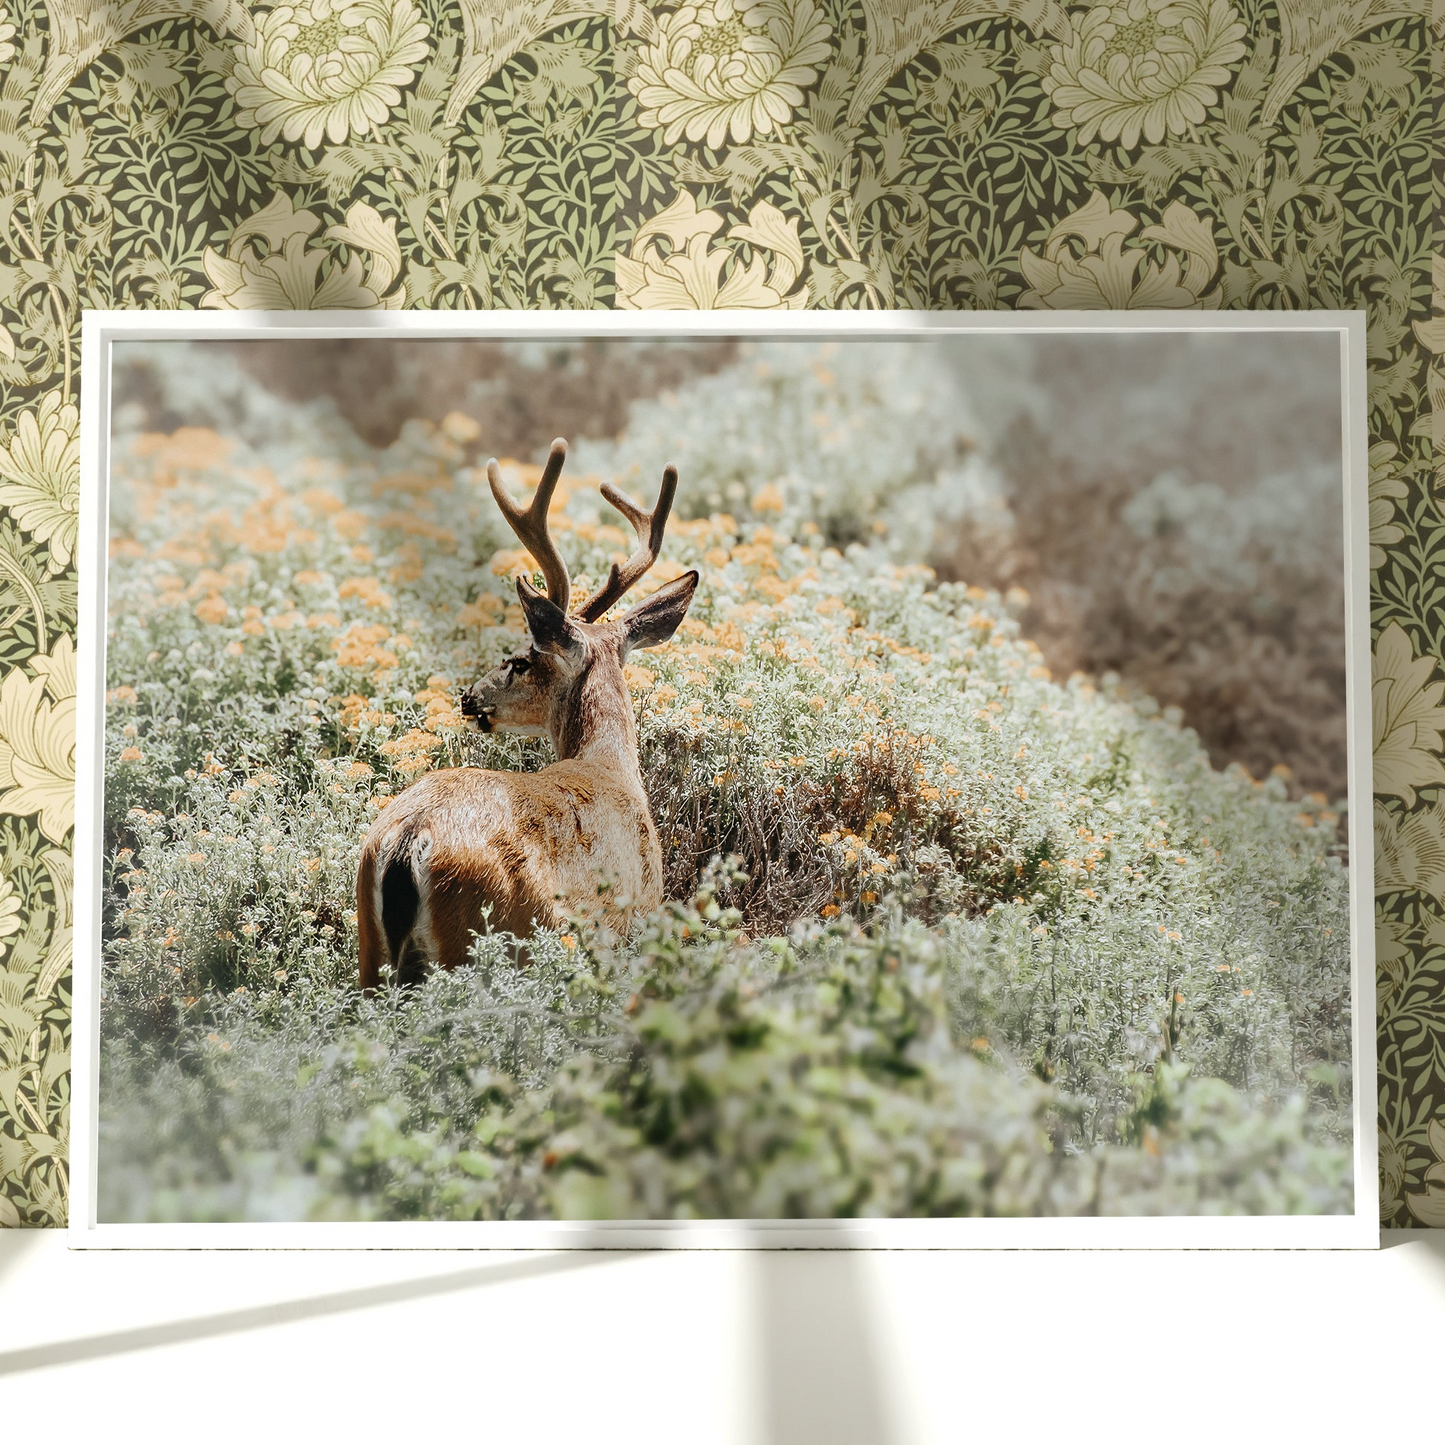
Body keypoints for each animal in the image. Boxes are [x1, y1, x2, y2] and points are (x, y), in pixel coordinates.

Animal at [352, 433, 696, 988]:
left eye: (521, 661)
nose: (469, 696)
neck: (610, 766)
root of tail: (409, 838)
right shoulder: (633, 922)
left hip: (370, 947)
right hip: (486, 937)